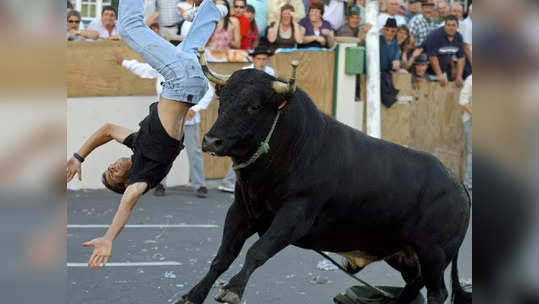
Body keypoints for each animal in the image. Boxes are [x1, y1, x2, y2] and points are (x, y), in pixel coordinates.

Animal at [176, 70, 468, 304]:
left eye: (254, 106)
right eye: (222, 100)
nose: (211, 141)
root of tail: (459, 185)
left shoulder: (295, 215)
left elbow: (257, 251)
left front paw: (233, 290)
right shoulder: (241, 212)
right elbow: (222, 257)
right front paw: (193, 295)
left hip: (433, 253)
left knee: (437, 292)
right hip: (401, 252)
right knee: (414, 284)